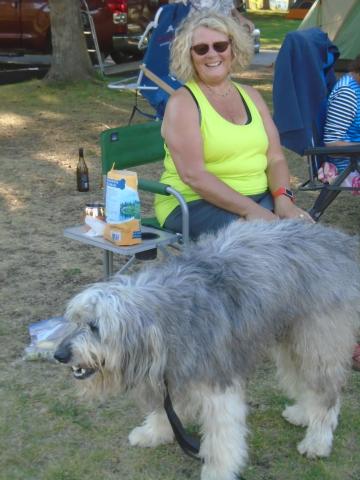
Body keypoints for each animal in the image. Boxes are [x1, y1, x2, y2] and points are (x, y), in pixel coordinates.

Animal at [54, 219, 360, 478]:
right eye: (75, 320)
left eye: (95, 326)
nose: (59, 355)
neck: (167, 320)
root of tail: (340, 241)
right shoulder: (171, 374)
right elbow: (167, 411)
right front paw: (153, 433)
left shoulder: (217, 385)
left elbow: (222, 437)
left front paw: (219, 470)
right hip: (292, 341)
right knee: (305, 382)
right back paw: (303, 414)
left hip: (317, 342)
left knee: (326, 394)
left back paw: (318, 440)